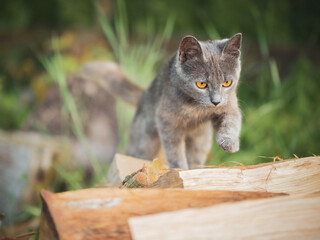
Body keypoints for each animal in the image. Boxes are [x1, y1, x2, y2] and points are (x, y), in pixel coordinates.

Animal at [82, 33, 242, 169]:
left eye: (227, 83)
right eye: (201, 84)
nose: (216, 101)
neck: (197, 107)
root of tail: (145, 93)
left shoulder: (229, 105)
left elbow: (231, 121)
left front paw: (229, 143)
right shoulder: (167, 120)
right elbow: (174, 149)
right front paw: (179, 168)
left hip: (201, 138)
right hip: (144, 138)